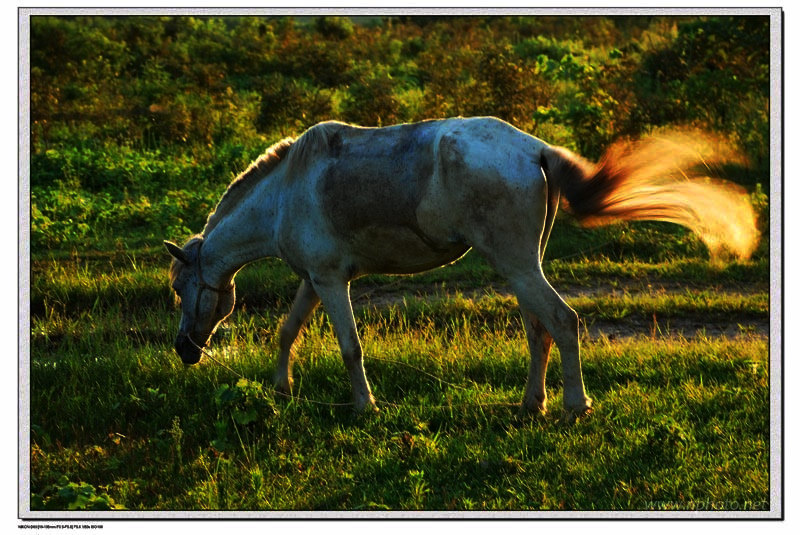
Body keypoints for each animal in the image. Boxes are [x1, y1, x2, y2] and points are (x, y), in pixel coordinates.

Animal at [164, 117, 756, 414]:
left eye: (180, 289)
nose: (184, 350)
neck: (287, 191)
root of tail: (536, 149)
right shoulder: (316, 280)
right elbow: (288, 331)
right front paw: (280, 390)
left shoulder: (331, 282)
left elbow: (350, 347)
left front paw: (364, 407)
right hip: (522, 267)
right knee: (538, 330)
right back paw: (531, 405)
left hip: (518, 266)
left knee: (561, 322)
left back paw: (573, 406)